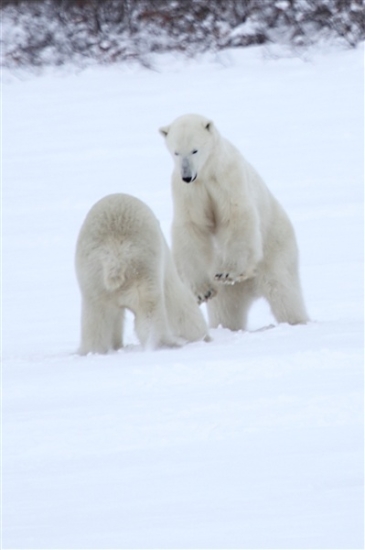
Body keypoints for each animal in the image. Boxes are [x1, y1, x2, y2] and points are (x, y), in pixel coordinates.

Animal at [74, 196, 208, 356]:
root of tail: (115, 253)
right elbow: (179, 301)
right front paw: (202, 336)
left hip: (93, 277)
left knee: (96, 319)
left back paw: (92, 351)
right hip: (144, 268)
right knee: (150, 311)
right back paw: (163, 344)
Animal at [159, 114, 308, 332]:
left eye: (195, 149)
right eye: (176, 151)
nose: (187, 175)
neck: (207, 171)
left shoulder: (228, 178)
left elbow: (236, 216)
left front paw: (228, 272)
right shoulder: (187, 191)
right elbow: (192, 227)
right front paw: (202, 292)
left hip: (276, 249)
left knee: (282, 290)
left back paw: (296, 322)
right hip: (228, 288)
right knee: (226, 309)